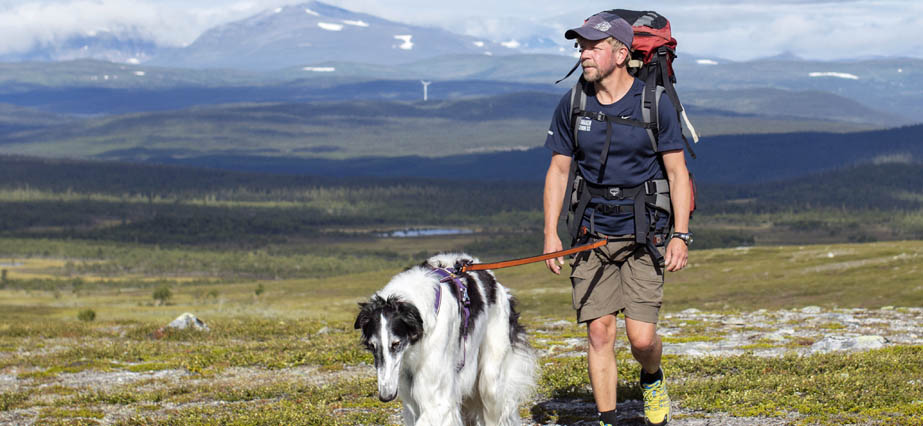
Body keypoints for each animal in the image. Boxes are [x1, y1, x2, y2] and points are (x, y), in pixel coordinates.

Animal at [358, 253, 536, 426]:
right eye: (372, 346)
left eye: (396, 344)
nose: (385, 396)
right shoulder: (410, 400)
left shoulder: (437, 400)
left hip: (490, 378)